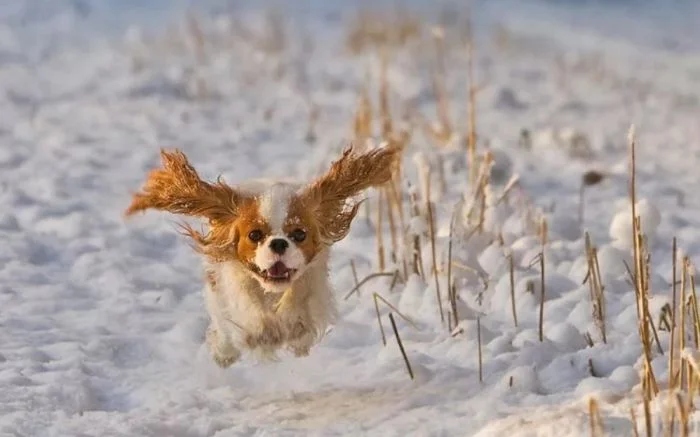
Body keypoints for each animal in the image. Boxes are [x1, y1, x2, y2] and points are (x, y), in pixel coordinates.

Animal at [124, 145, 400, 366]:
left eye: (299, 234)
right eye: (255, 235)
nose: (278, 243)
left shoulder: (311, 286)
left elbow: (300, 310)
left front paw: (292, 325)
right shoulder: (234, 289)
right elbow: (249, 316)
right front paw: (263, 332)